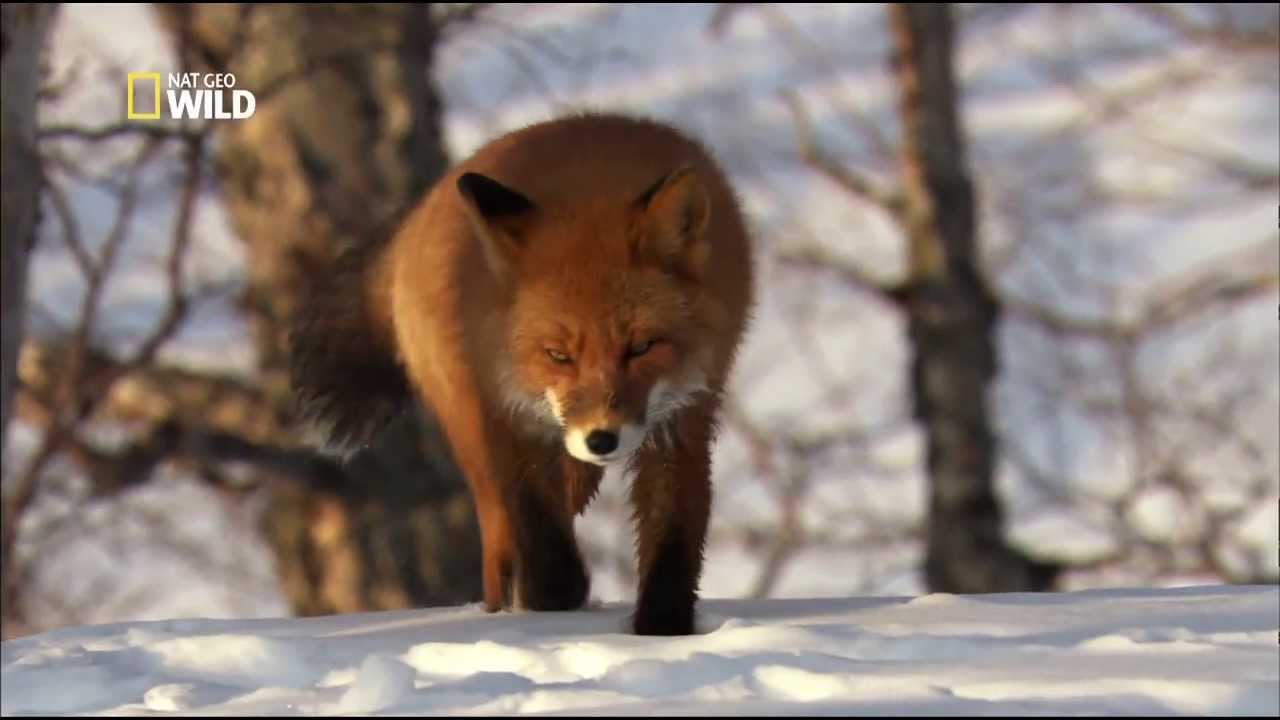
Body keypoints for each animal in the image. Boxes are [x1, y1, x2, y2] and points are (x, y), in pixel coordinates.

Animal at [289, 113, 754, 635]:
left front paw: (662, 628)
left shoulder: (684, 415)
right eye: (558, 355)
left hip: (580, 465)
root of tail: (421, 210)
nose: (602, 439)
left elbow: (672, 535)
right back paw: (503, 606)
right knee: (498, 539)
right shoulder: (507, 411)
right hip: (475, 427)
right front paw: (549, 603)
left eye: (640, 348)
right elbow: (540, 533)